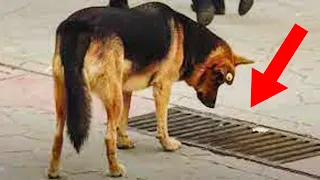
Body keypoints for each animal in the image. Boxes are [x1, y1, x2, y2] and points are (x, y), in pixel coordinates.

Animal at [47, 1, 252, 179]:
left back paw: (53, 171)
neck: (188, 39)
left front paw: (124, 142)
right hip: (112, 99)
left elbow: (124, 121)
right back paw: (115, 170)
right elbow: (162, 123)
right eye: (218, 80)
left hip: (66, 96)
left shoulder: (125, 89)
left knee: (58, 135)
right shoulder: (163, 87)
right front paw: (167, 144)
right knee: (107, 137)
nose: (212, 105)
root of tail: (78, 26)